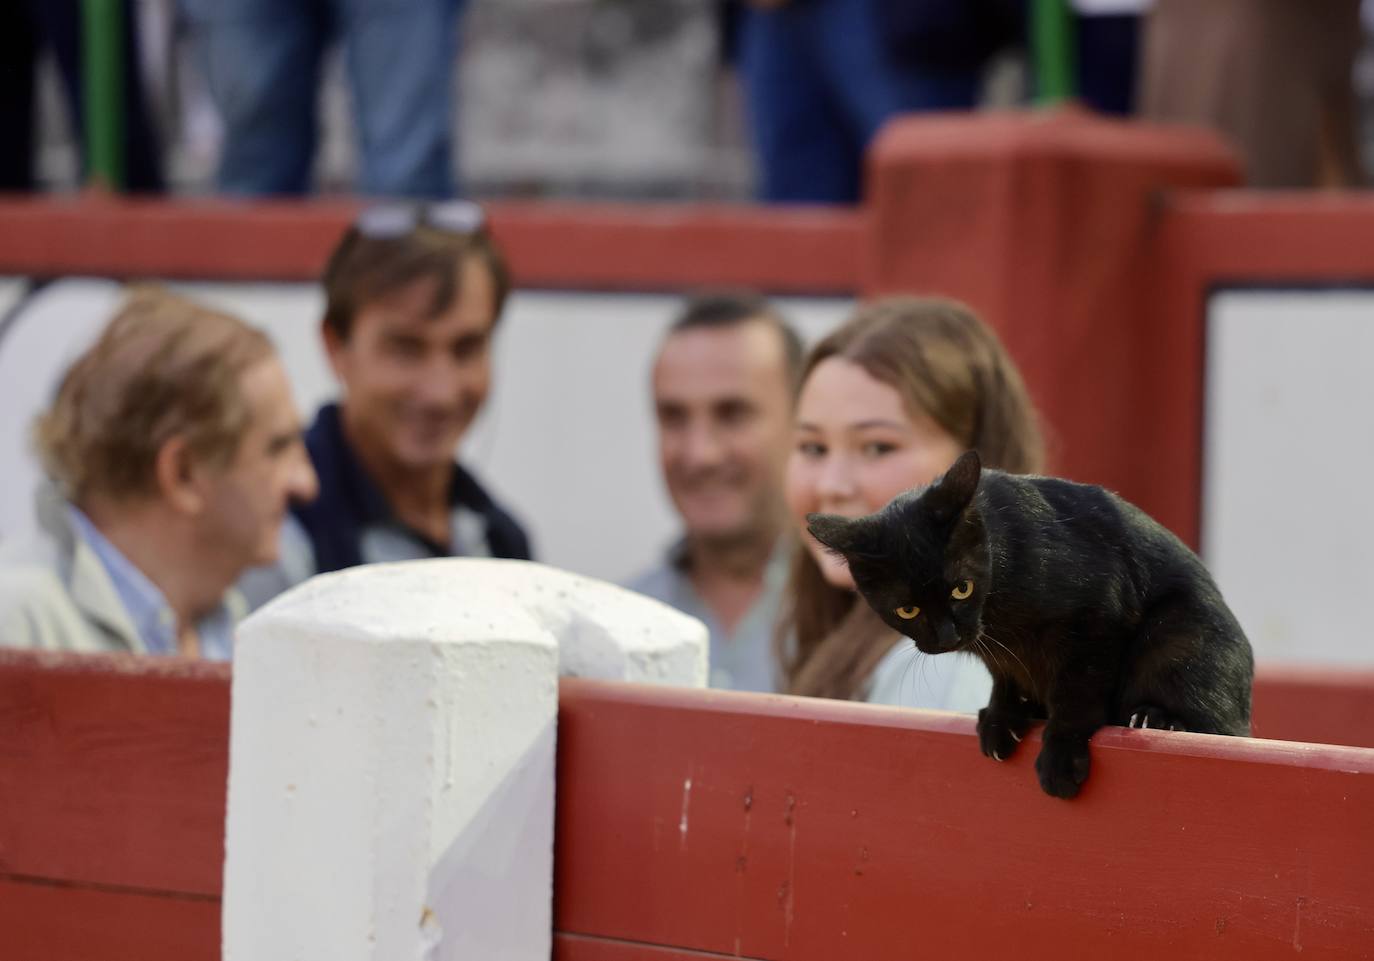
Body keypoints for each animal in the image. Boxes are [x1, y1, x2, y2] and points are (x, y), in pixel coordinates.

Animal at [807, 453, 1253, 802]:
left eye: (962, 588)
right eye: (907, 609)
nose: (950, 636)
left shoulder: (1096, 620)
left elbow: (1076, 695)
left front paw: (1061, 756)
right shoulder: (1001, 654)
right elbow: (1008, 679)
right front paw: (1001, 718)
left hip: (1179, 637)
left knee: (1215, 726)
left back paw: (1154, 719)